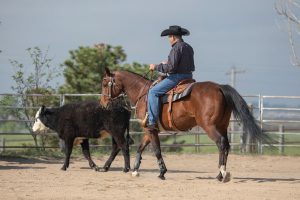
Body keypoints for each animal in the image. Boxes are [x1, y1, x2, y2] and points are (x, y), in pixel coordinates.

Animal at [99, 68, 270, 182]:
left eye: (104, 83)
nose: (103, 103)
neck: (143, 93)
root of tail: (220, 87)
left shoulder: (150, 129)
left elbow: (157, 150)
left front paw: (162, 172)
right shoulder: (150, 130)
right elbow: (141, 147)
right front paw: (135, 170)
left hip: (209, 126)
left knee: (221, 144)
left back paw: (222, 174)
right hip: (222, 125)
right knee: (226, 145)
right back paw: (219, 174)